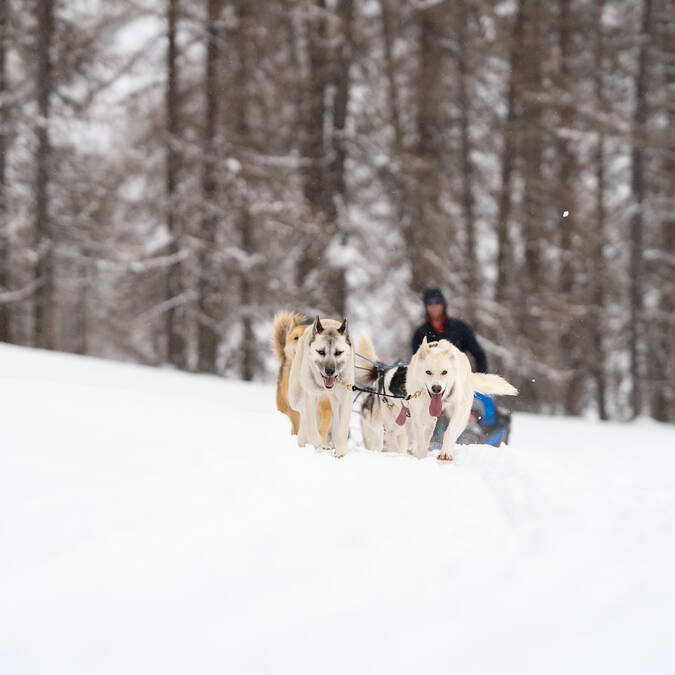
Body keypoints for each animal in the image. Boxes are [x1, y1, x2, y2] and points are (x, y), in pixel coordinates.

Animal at [270, 310, 332, 444]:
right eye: (296, 338)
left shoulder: (325, 404)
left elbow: (324, 426)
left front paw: (322, 443)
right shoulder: (296, 407)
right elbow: (299, 426)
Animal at [288, 316, 356, 460]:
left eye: (338, 352)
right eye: (321, 352)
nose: (330, 371)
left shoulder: (345, 397)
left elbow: (341, 430)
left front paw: (340, 452)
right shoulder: (311, 396)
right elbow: (312, 429)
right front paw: (318, 446)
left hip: (334, 402)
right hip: (295, 397)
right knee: (304, 414)